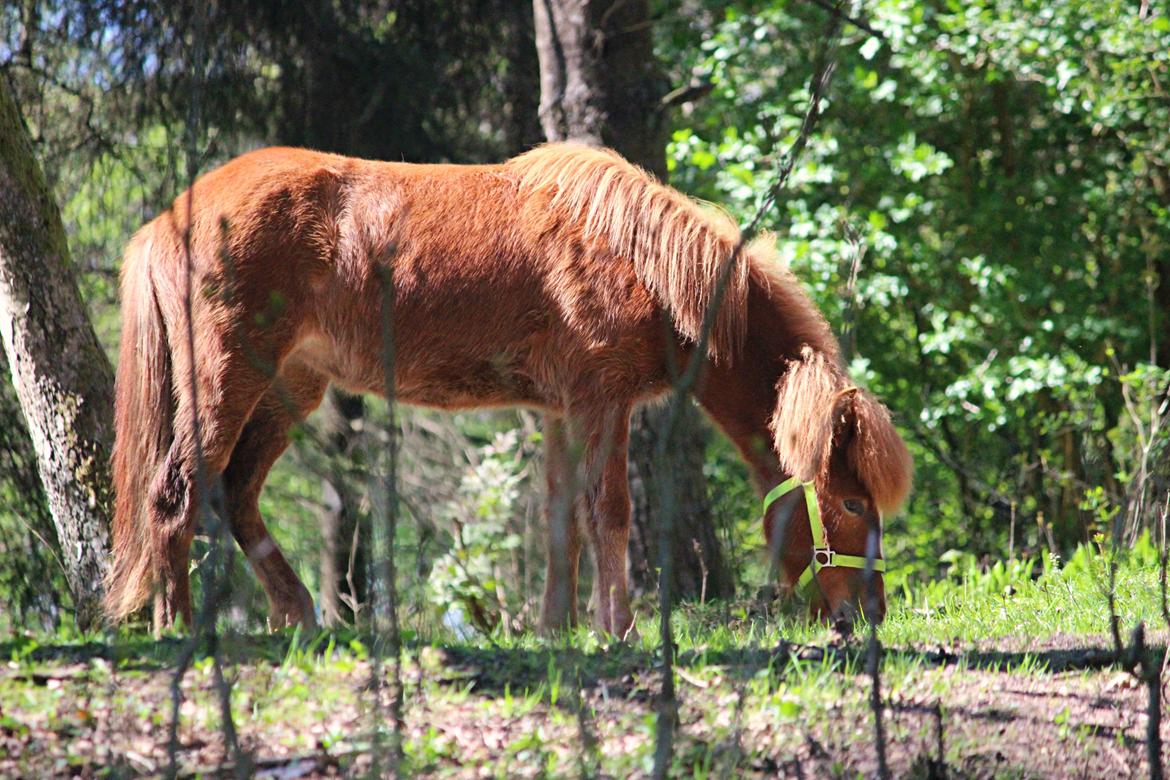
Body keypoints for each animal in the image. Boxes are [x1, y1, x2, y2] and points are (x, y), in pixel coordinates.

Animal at [107, 143, 912, 636]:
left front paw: (561, 630)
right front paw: (619, 628)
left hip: (290, 388)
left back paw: (296, 610)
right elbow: (608, 514)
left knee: (235, 491)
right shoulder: (601, 403)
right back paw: (176, 625)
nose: (871, 611)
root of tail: (170, 216)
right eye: (850, 502)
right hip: (229, 377)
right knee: (176, 492)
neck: (643, 261)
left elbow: (563, 523)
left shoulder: (560, 413)